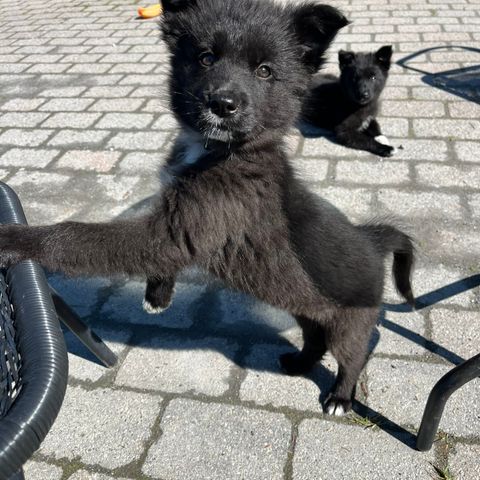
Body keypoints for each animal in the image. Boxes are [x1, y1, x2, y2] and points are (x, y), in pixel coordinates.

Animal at [0, 0, 414, 416]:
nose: (222, 104)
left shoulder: (181, 227)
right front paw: (158, 298)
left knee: (353, 356)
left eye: (265, 71)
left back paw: (340, 397)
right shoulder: (173, 228)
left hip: (351, 321)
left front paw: (15, 238)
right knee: (315, 340)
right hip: (307, 306)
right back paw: (298, 363)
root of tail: (373, 239)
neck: (219, 150)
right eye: (205, 57)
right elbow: (159, 258)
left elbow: (77, 235)